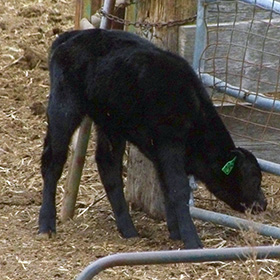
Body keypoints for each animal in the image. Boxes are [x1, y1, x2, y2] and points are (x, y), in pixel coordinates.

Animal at [38, 29, 266, 249]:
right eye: (254, 178)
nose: (263, 203)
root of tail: (71, 35)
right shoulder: (169, 142)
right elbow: (179, 190)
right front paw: (192, 240)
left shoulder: (159, 153)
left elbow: (166, 188)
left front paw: (175, 233)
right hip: (64, 107)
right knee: (53, 162)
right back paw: (46, 225)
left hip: (111, 123)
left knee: (108, 166)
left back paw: (128, 230)